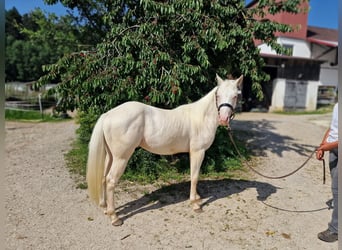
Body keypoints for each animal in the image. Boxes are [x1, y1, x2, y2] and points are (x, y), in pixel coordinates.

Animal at [87, 73, 243, 226]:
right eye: (218, 95)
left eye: (235, 96)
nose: (223, 119)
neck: (201, 118)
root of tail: (108, 115)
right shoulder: (198, 152)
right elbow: (194, 176)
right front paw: (195, 204)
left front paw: (197, 198)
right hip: (121, 158)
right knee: (111, 180)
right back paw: (115, 217)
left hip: (110, 156)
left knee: (103, 177)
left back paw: (105, 207)